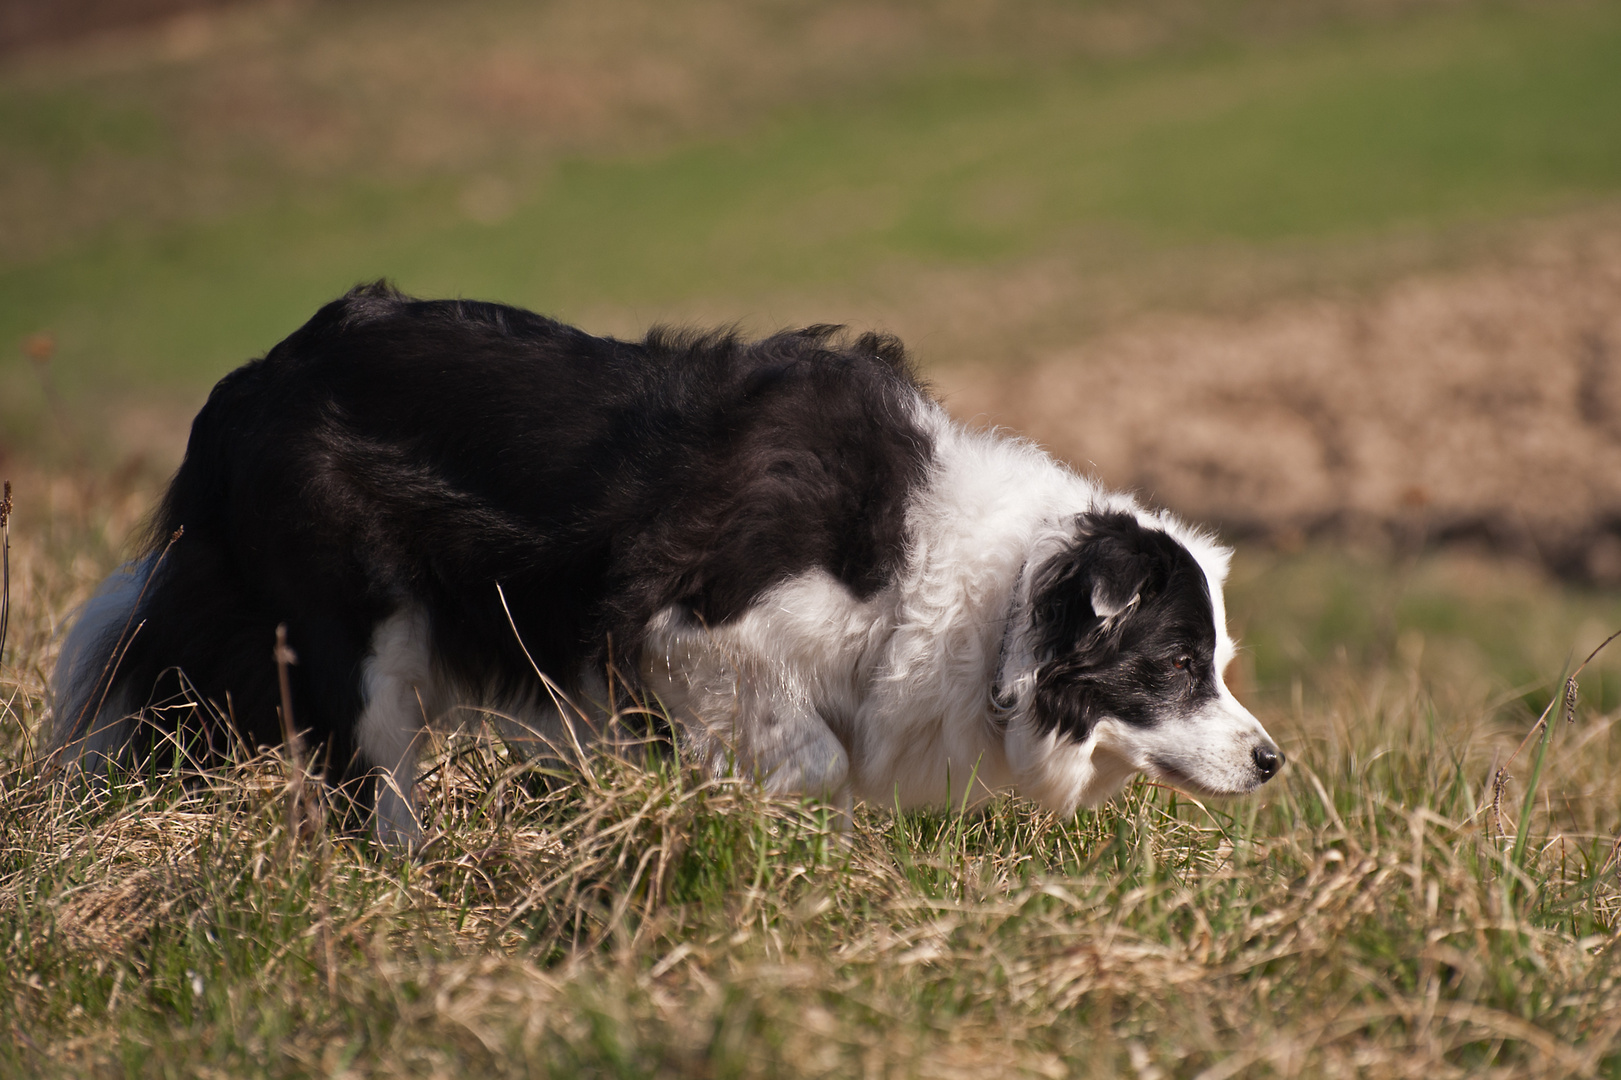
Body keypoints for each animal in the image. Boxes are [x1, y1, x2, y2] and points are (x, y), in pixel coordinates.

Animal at [47, 282, 1277, 836]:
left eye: (1216, 665)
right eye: (1174, 665)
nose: (1271, 761)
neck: (980, 595)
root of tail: (255, 378)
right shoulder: (685, 624)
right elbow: (809, 756)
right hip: (364, 636)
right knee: (371, 782)